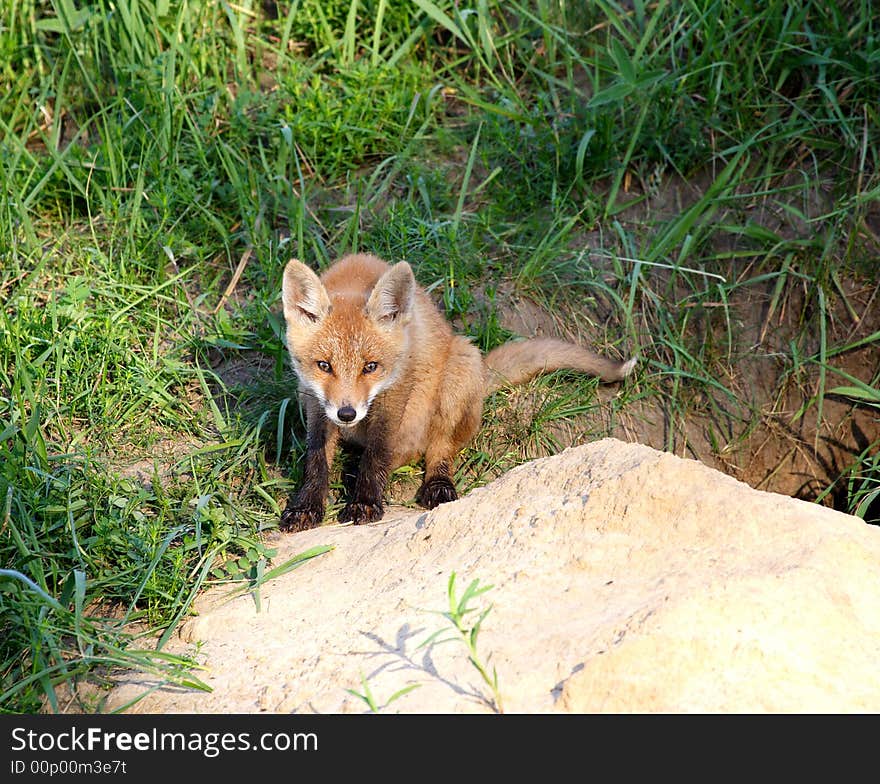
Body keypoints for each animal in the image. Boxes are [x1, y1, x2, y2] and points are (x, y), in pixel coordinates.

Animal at [278, 254, 636, 528]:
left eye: (371, 367)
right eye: (324, 365)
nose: (347, 414)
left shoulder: (396, 391)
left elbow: (377, 453)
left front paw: (365, 501)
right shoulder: (313, 399)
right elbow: (316, 458)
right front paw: (307, 506)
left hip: (459, 370)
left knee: (439, 448)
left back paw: (437, 483)